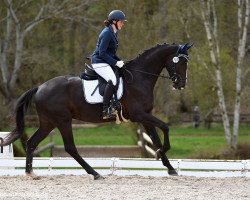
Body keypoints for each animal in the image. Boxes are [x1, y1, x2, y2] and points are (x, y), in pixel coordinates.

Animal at [0, 42, 191, 180]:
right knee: (70, 147)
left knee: (32, 142)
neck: (139, 77)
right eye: (180, 62)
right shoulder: (140, 115)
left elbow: (156, 139)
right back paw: (95, 173)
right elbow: (165, 127)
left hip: (48, 122)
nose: (181, 84)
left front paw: (170, 168)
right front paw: (162, 154)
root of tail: (40, 87)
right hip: (63, 120)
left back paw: (30, 173)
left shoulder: (145, 116)